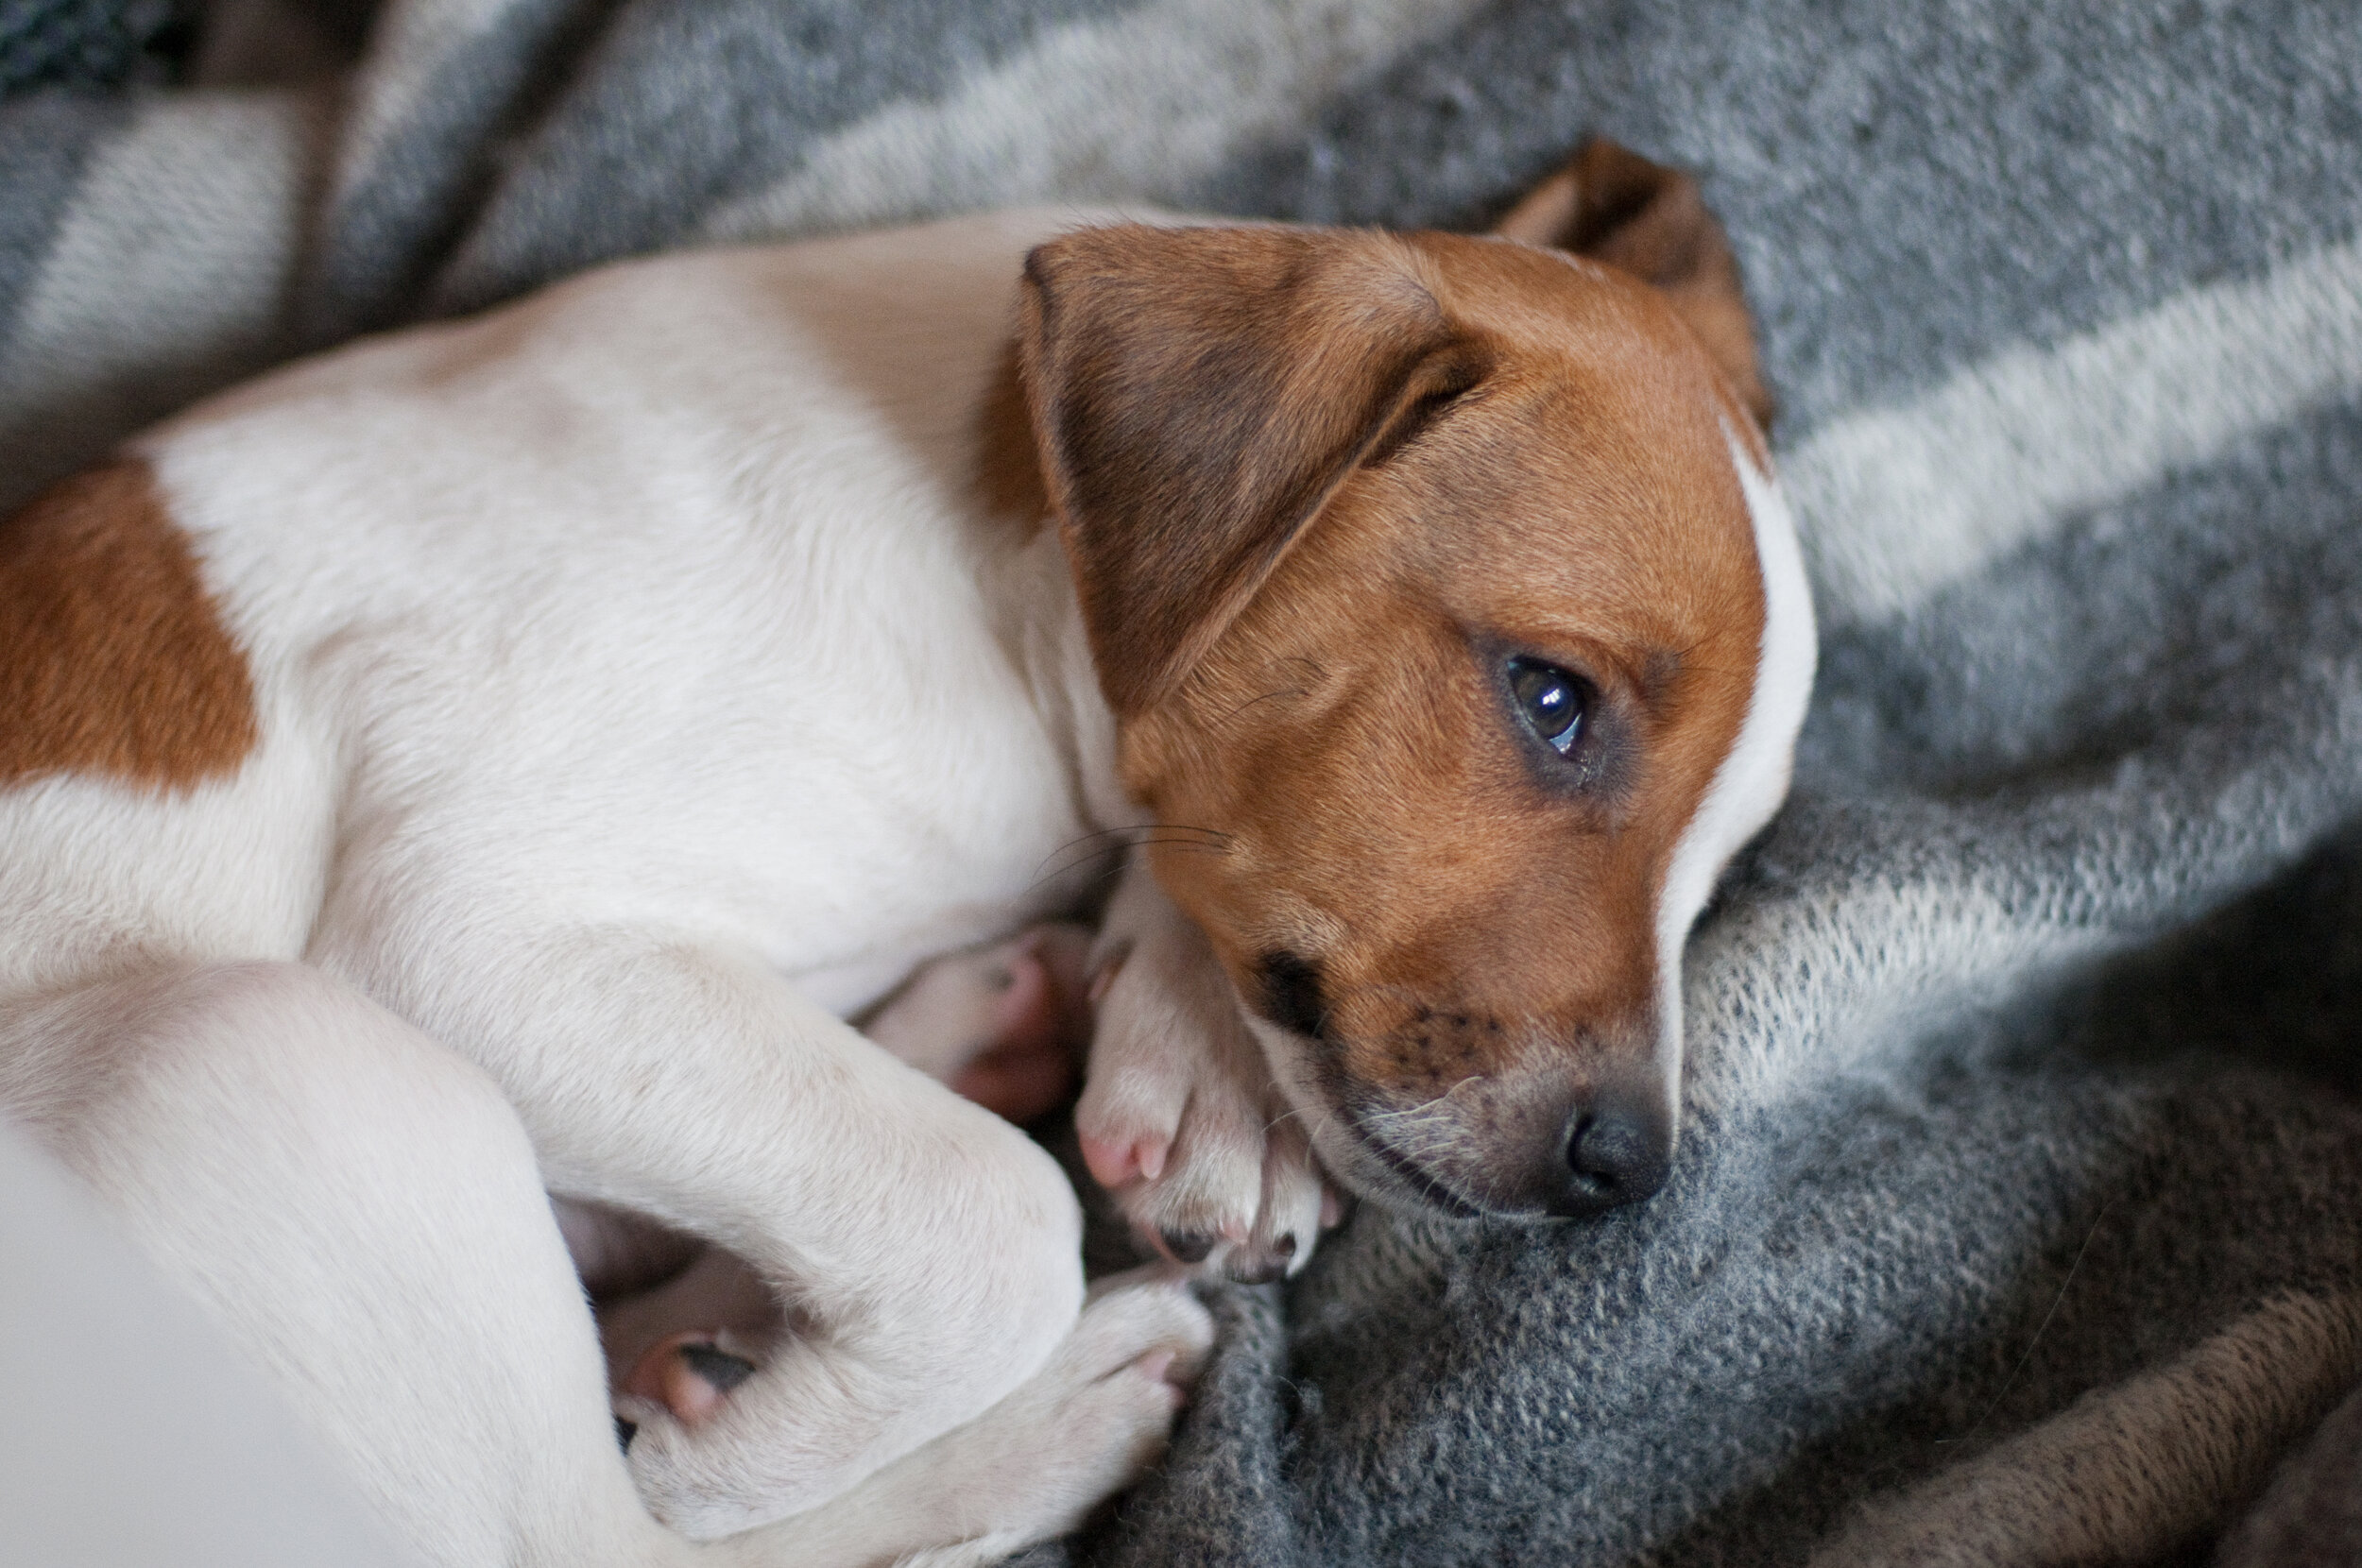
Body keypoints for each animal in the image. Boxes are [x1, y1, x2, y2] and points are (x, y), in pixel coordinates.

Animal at [0, 141, 1805, 1559]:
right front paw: (769, 1452)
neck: (983, 570)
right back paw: (1006, 1416)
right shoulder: (464, 933)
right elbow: (981, 1211)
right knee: (594, 1540)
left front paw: (1200, 1065)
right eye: (1552, 699)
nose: (1623, 1171)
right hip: (271, 1055)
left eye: (1727, 853)